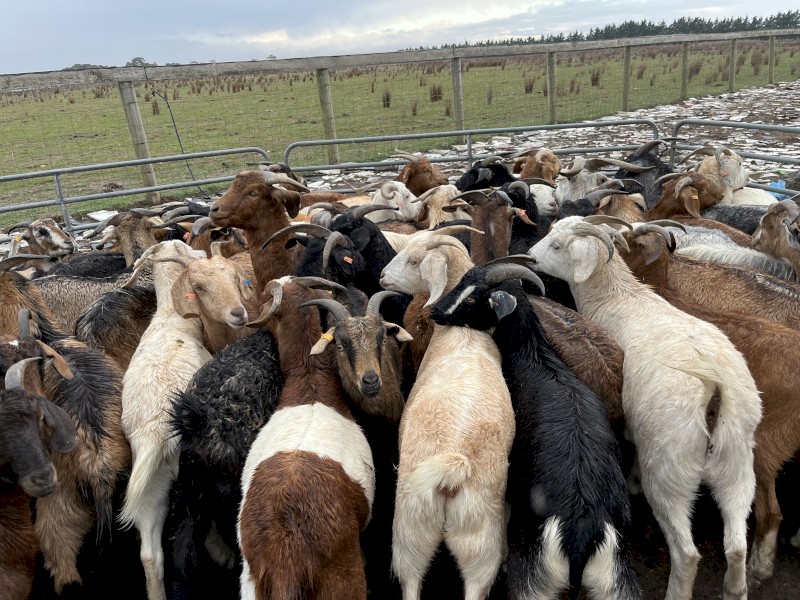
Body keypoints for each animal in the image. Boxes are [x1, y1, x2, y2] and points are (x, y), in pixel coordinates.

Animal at [430, 263, 641, 600]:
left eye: (475, 298)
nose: (436, 312)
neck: (535, 356)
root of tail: (581, 538)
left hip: (535, 579)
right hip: (614, 580)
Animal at [527, 216, 762, 600]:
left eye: (559, 246)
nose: (529, 257)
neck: (618, 297)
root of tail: (715, 389)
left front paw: (632, 481)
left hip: (670, 469)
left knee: (687, 553)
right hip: (738, 458)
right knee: (737, 544)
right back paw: (736, 587)